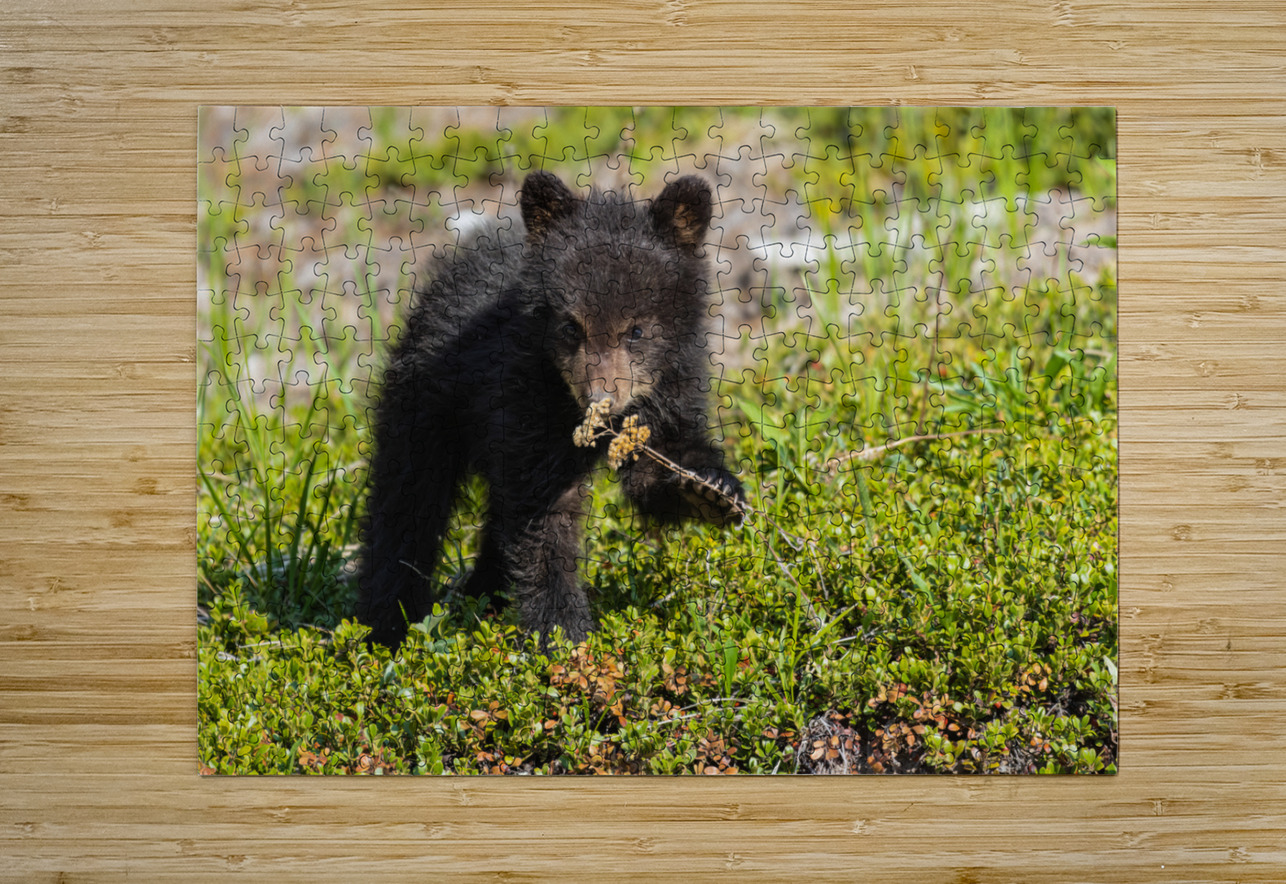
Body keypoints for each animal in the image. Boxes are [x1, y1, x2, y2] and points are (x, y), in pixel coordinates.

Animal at [357, 171, 746, 648]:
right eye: (571, 326)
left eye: (636, 330)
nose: (599, 398)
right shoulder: (522, 399)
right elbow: (544, 517)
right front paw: (564, 630)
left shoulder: (671, 387)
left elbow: (657, 466)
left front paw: (711, 489)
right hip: (427, 399)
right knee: (407, 499)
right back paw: (388, 624)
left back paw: (483, 595)